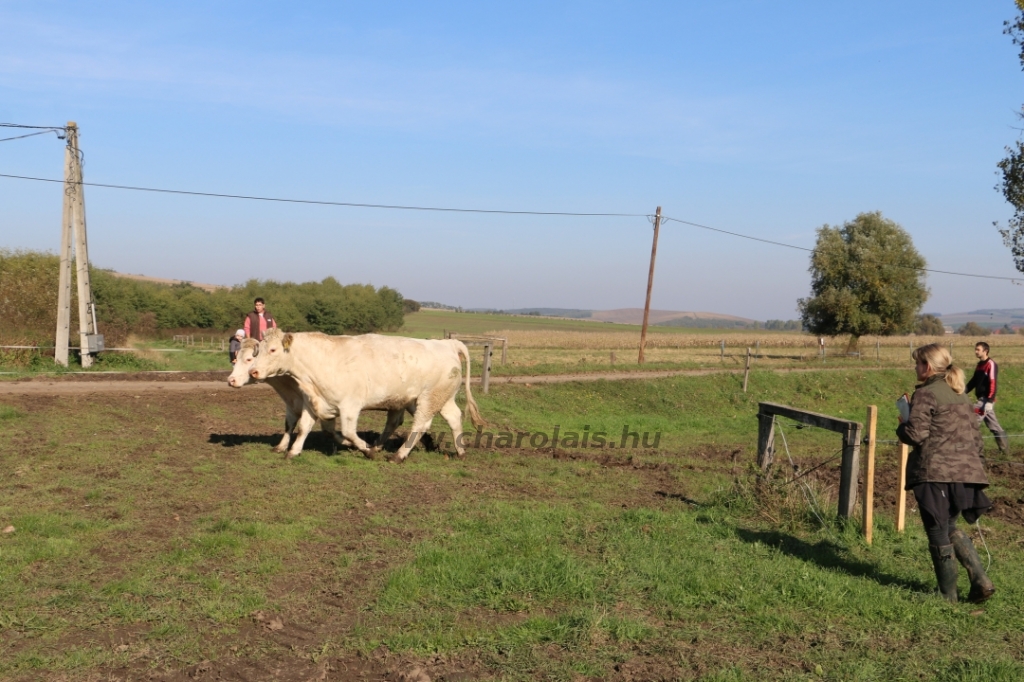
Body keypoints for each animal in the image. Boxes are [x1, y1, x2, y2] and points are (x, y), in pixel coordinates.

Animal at [227, 337, 411, 454]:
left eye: (249, 359)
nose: (231, 380)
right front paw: (281, 447)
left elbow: (324, 429)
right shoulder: (293, 405)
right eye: (236, 358)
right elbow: (291, 425)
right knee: (393, 422)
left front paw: (350, 443)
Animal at [249, 327, 485, 458]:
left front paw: (367, 451)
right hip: (442, 398)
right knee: (453, 418)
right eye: (259, 349)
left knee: (421, 424)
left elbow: (348, 432)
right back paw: (460, 452)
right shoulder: (314, 402)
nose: (254, 371)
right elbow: (304, 427)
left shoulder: (350, 406)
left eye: (273, 350)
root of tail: (447, 343)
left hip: (429, 398)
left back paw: (398, 455)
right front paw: (293, 451)